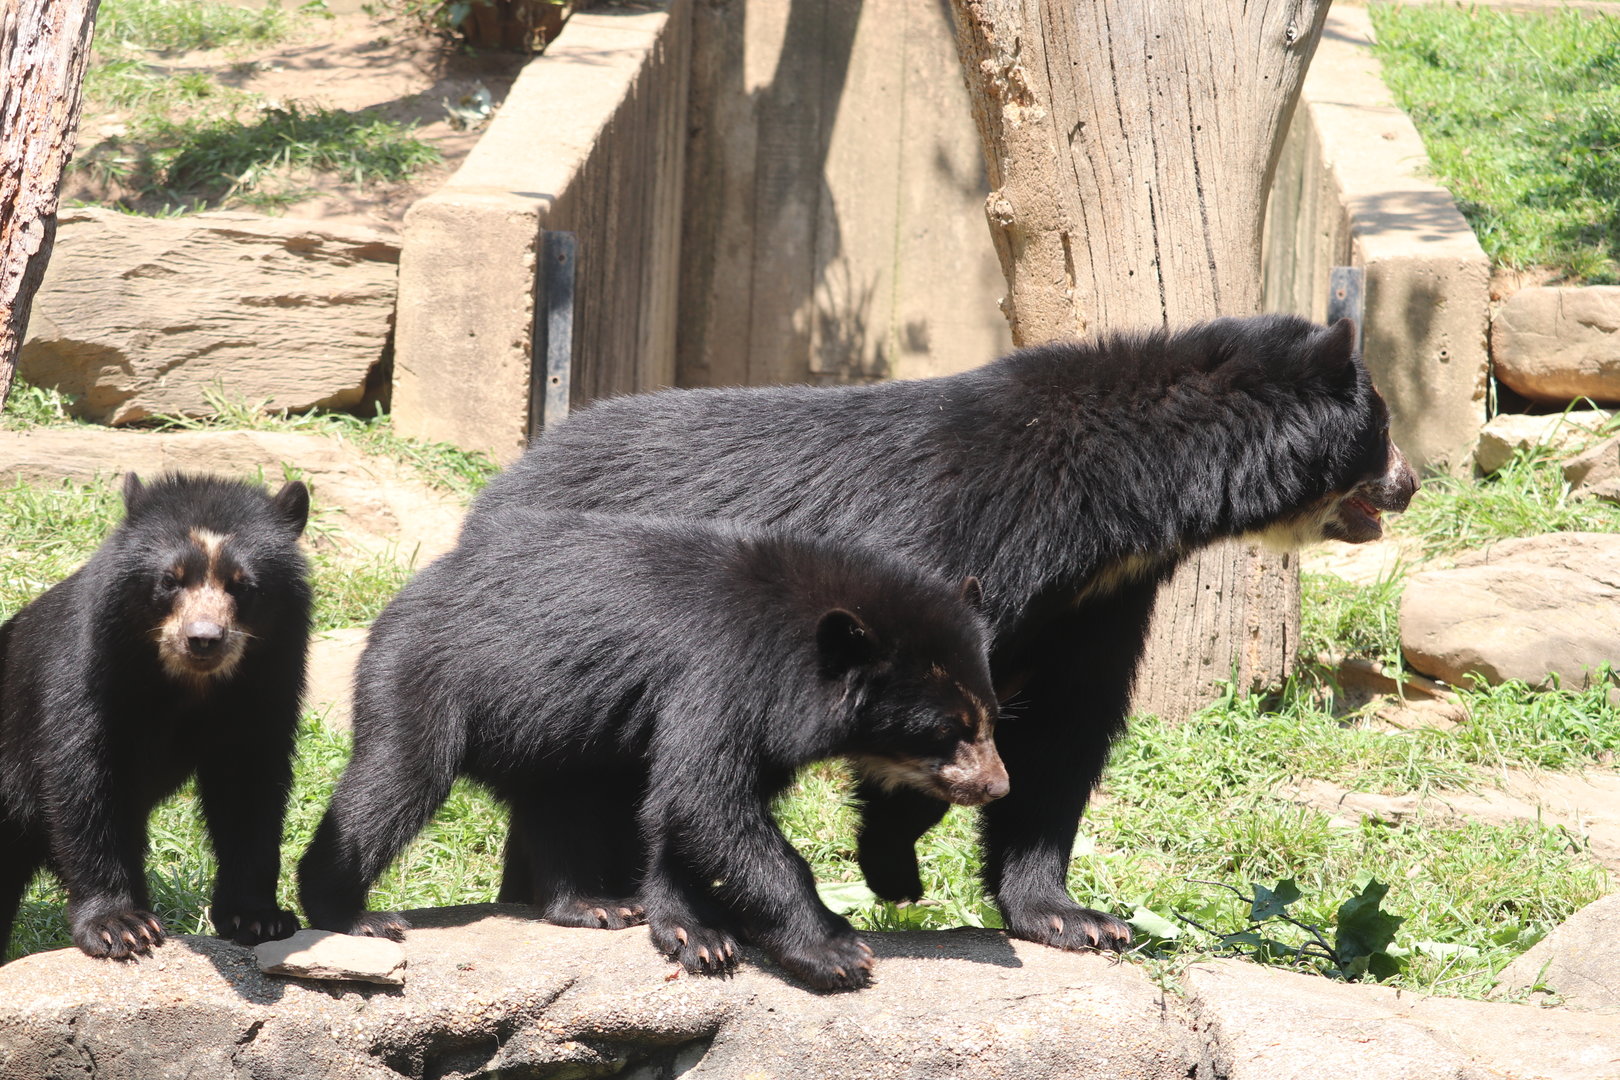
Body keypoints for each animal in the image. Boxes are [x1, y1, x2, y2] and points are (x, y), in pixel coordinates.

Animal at [0, 473, 312, 961]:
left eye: (242, 585)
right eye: (170, 580)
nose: (203, 638)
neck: (188, 683)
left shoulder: (263, 688)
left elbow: (249, 788)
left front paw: (260, 918)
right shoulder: (85, 676)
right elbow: (85, 784)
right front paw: (122, 927)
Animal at [297, 509, 1005, 991]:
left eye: (990, 716)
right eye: (947, 729)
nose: (997, 786)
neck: (796, 655)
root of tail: (397, 602)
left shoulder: (755, 722)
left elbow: (681, 807)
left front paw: (695, 930)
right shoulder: (723, 673)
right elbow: (707, 799)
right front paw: (835, 950)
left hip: (551, 734)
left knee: (559, 807)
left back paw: (592, 905)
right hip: (428, 683)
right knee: (395, 781)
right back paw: (351, 917)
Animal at [465, 313, 1420, 954]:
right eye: (1382, 425)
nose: (1411, 483)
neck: (1106, 516)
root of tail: (500, 486)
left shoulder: (1095, 604)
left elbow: (1063, 737)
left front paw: (1073, 918)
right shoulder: (952, 542)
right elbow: (923, 709)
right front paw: (893, 869)